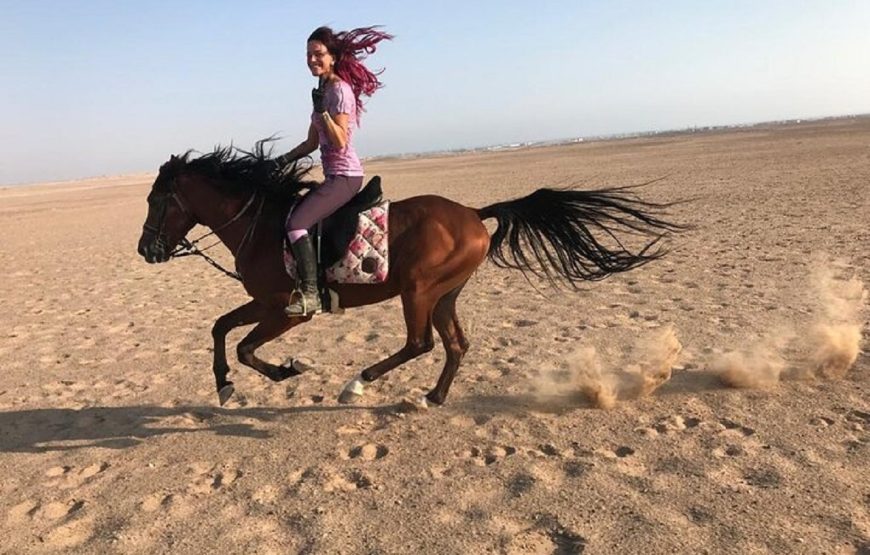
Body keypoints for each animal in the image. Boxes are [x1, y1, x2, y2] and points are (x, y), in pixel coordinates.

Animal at [136, 144, 684, 408]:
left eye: (158, 200)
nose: (146, 250)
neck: (264, 224)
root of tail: (473, 213)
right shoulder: (264, 303)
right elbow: (220, 329)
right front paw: (224, 387)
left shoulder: (289, 311)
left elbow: (248, 348)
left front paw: (290, 369)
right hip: (444, 293)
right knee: (456, 344)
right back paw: (433, 397)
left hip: (418, 290)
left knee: (420, 343)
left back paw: (356, 385)